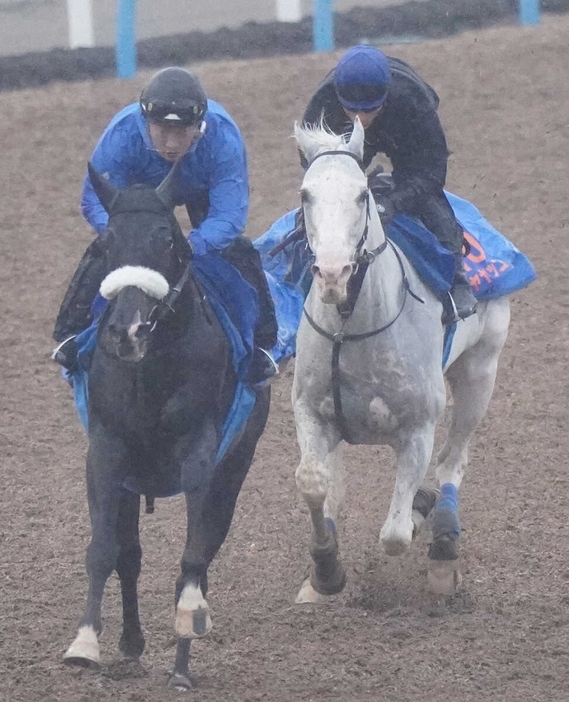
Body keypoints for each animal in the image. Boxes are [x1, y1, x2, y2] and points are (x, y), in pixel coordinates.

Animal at [63, 162, 270, 692]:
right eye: (107, 241)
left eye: (166, 238)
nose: (128, 331)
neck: (152, 370)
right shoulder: (107, 452)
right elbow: (104, 550)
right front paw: (84, 644)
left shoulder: (200, 453)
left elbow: (193, 559)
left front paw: (189, 625)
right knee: (131, 557)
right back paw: (132, 644)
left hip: (236, 464)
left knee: (205, 547)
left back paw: (184, 652)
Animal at [290, 118, 508, 604]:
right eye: (306, 194)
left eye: (360, 195)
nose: (332, 273)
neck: (352, 329)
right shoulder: (311, 412)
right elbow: (315, 483)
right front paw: (325, 570)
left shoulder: (417, 430)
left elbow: (394, 535)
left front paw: (415, 515)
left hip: (481, 372)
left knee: (453, 461)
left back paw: (442, 544)